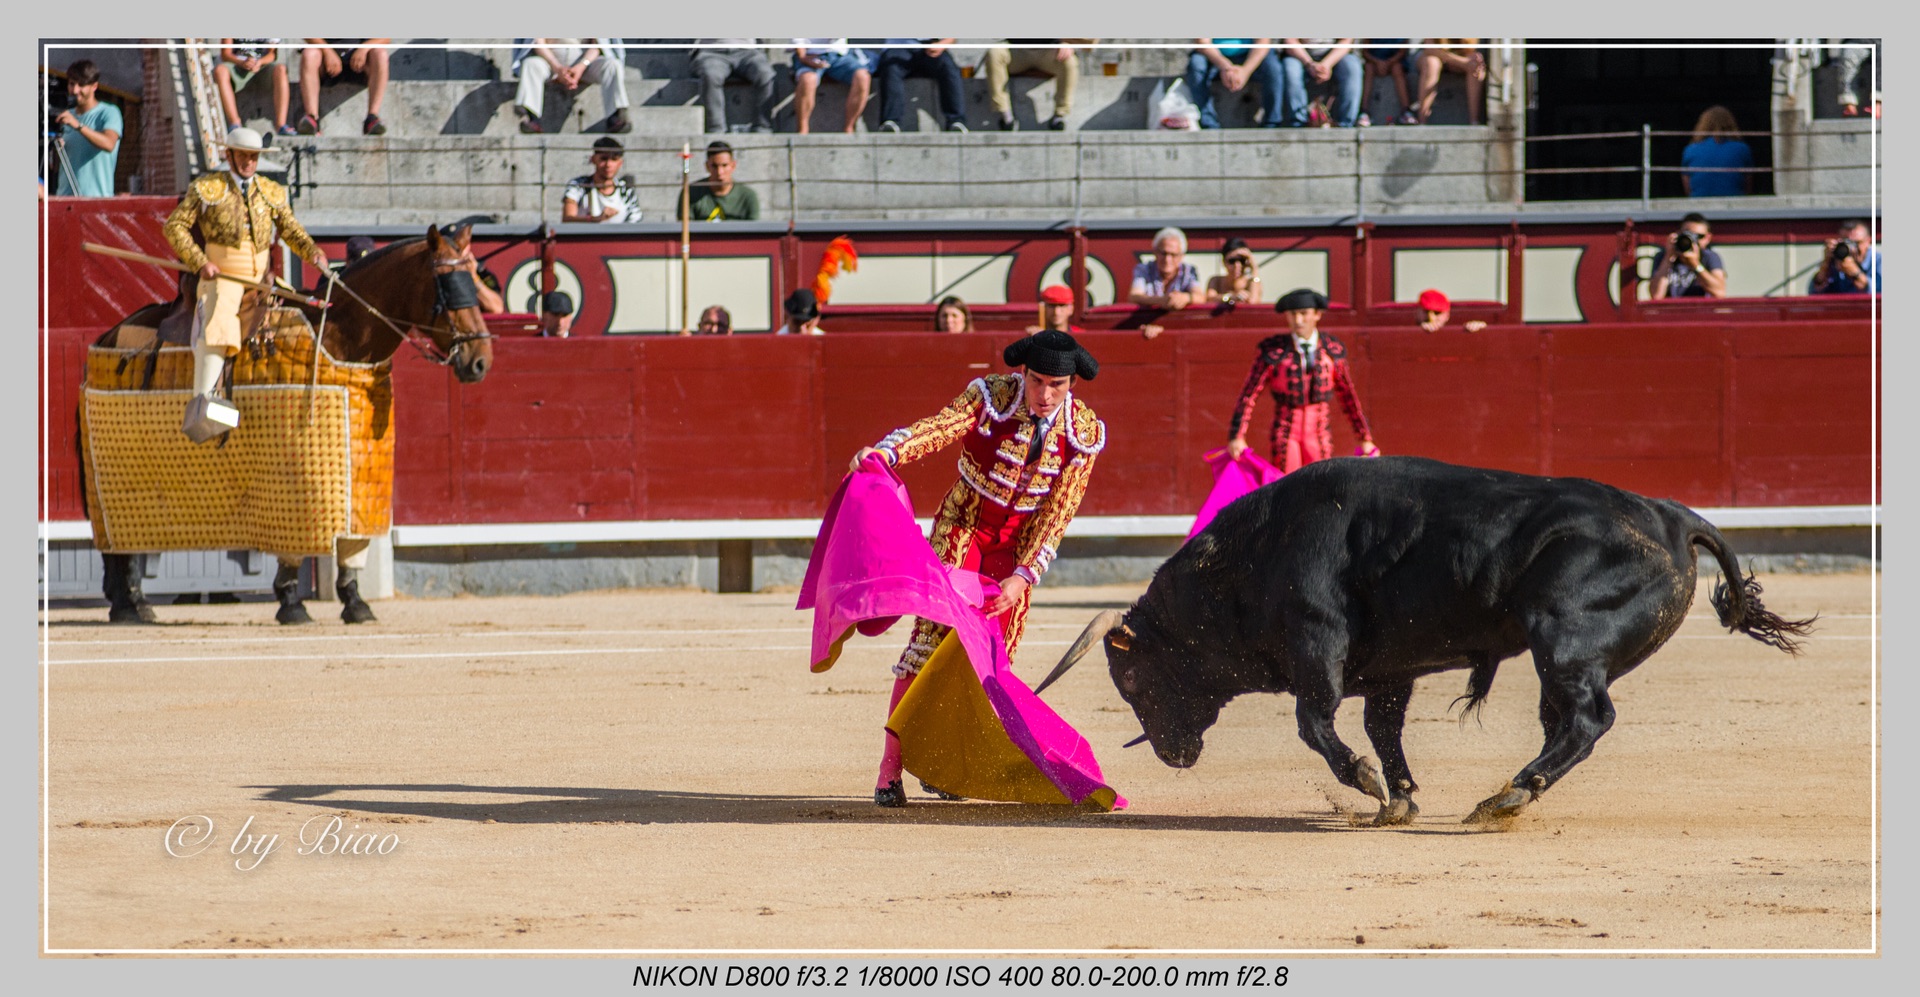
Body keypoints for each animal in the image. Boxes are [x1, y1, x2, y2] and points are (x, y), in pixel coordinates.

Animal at [97, 224, 495, 622]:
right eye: (447, 287)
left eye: (477, 283)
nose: (481, 361)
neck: (338, 334)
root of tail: (111, 332)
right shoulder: (297, 470)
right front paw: (290, 600)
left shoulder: (364, 471)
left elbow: (352, 538)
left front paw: (355, 601)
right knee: (119, 539)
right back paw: (131, 605)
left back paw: (131, 604)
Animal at [1044, 457, 1804, 822]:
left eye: (1132, 679)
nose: (1173, 754)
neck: (1254, 555)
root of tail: (1675, 518)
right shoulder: (1389, 672)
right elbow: (1384, 729)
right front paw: (1400, 798)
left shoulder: (1317, 643)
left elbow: (1316, 724)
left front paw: (1366, 783)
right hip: (1569, 657)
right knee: (1566, 722)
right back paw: (1507, 792)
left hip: (1565, 640)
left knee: (1588, 719)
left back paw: (1510, 795)